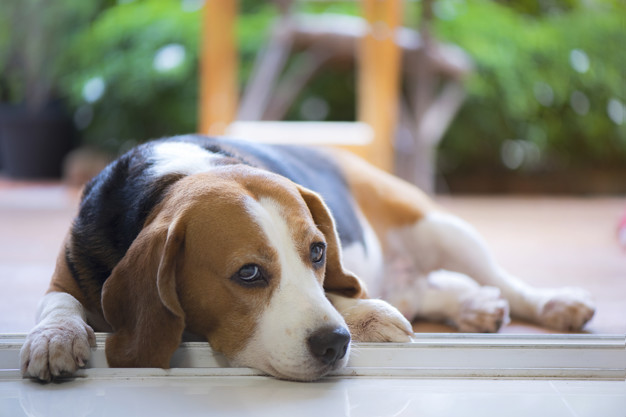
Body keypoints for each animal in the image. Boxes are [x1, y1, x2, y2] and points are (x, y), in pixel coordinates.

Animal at [20, 136, 596, 380]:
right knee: (428, 289)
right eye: (248, 273)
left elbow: (343, 293)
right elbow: (57, 306)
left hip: (439, 227)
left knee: (505, 280)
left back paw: (553, 303)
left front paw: (365, 316)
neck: (174, 178)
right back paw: (471, 305)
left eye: (318, 251)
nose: (335, 345)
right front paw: (54, 339)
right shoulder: (64, 277)